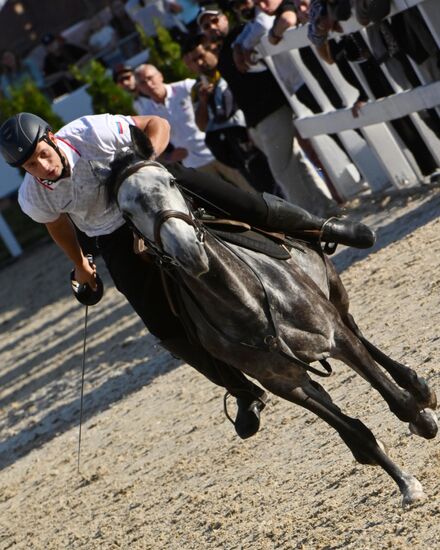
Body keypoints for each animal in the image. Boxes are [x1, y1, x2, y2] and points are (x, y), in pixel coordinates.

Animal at [105, 135, 438, 508]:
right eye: (127, 213)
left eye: (172, 182)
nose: (187, 250)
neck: (248, 303)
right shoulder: (283, 381)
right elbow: (356, 433)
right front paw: (406, 484)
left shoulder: (337, 338)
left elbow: (396, 400)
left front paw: (422, 418)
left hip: (336, 295)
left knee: (361, 335)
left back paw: (419, 390)